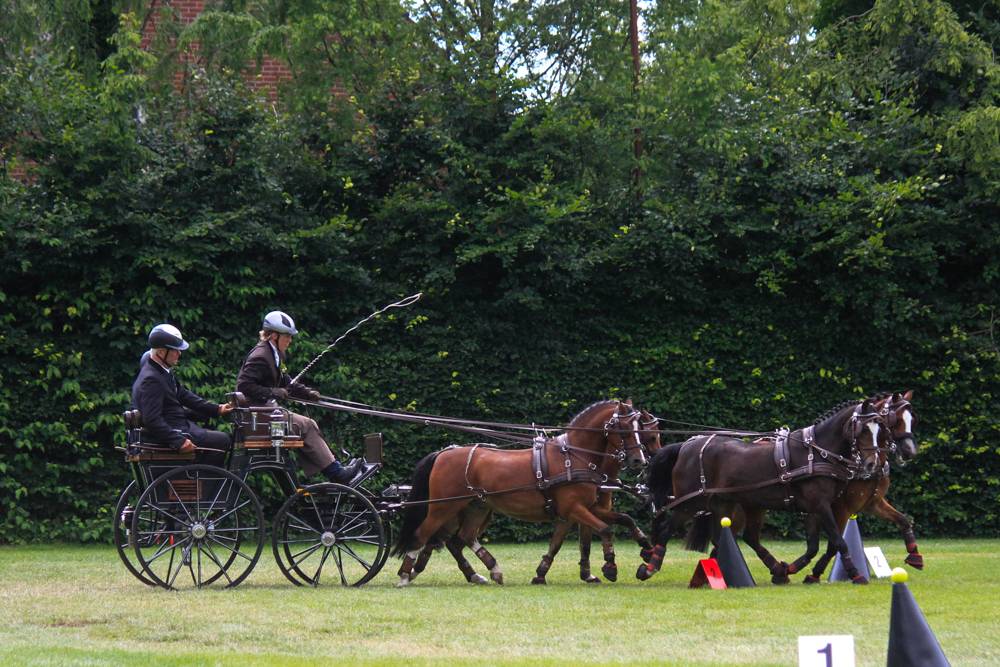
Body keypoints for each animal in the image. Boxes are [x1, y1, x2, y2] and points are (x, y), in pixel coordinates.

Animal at [392, 399, 654, 587]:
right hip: (442, 507)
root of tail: (443, 452)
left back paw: (487, 571)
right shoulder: (575, 509)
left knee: (462, 538)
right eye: (624, 428)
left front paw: (646, 548)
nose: (639, 461)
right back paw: (405, 575)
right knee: (424, 534)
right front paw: (610, 566)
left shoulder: (583, 509)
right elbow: (605, 529)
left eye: (640, 428)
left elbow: (622, 520)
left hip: (477, 507)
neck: (574, 456)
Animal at [639, 398, 888, 584]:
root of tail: (687, 444)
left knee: (731, 538)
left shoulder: (812, 508)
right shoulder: (821, 505)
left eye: (881, 430)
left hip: (727, 504)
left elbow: (814, 546)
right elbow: (838, 541)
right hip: (690, 502)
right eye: (863, 429)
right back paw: (650, 566)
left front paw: (792, 569)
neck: (817, 453)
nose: (872, 464)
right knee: (666, 528)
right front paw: (856, 574)